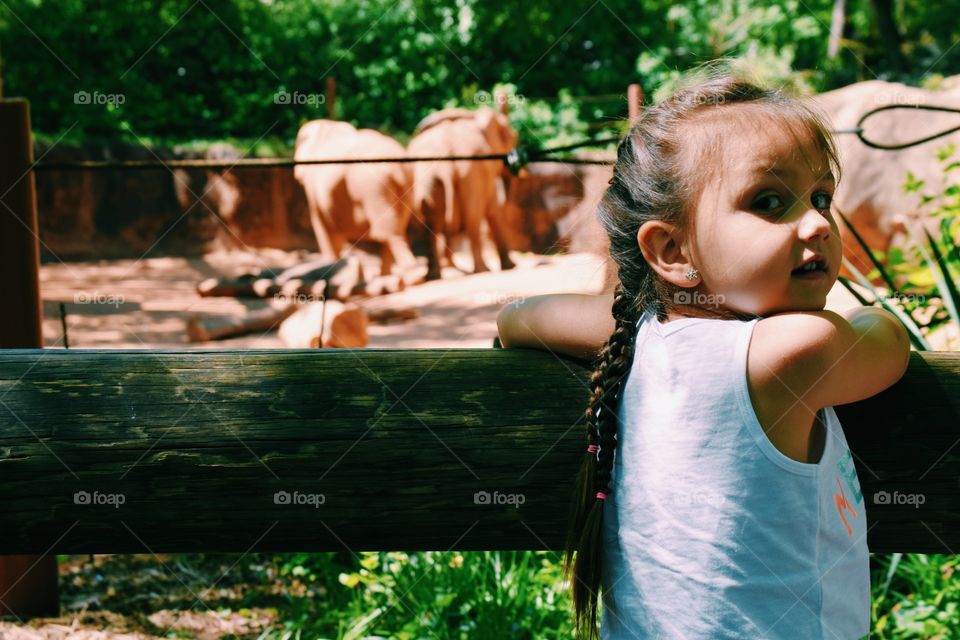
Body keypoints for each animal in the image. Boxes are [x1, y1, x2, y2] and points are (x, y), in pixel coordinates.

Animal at [292, 119, 420, 282]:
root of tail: (398, 167)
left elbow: (321, 224)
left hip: (372, 187)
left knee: (387, 231)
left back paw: (411, 275)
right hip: (405, 188)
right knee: (397, 227)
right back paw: (385, 276)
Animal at [408, 105, 520, 280]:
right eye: (514, 139)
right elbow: (493, 211)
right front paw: (511, 266)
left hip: (429, 178)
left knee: (432, 221)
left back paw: (434, 275)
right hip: (470, 170)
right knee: (473, 218)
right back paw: (482, 270)